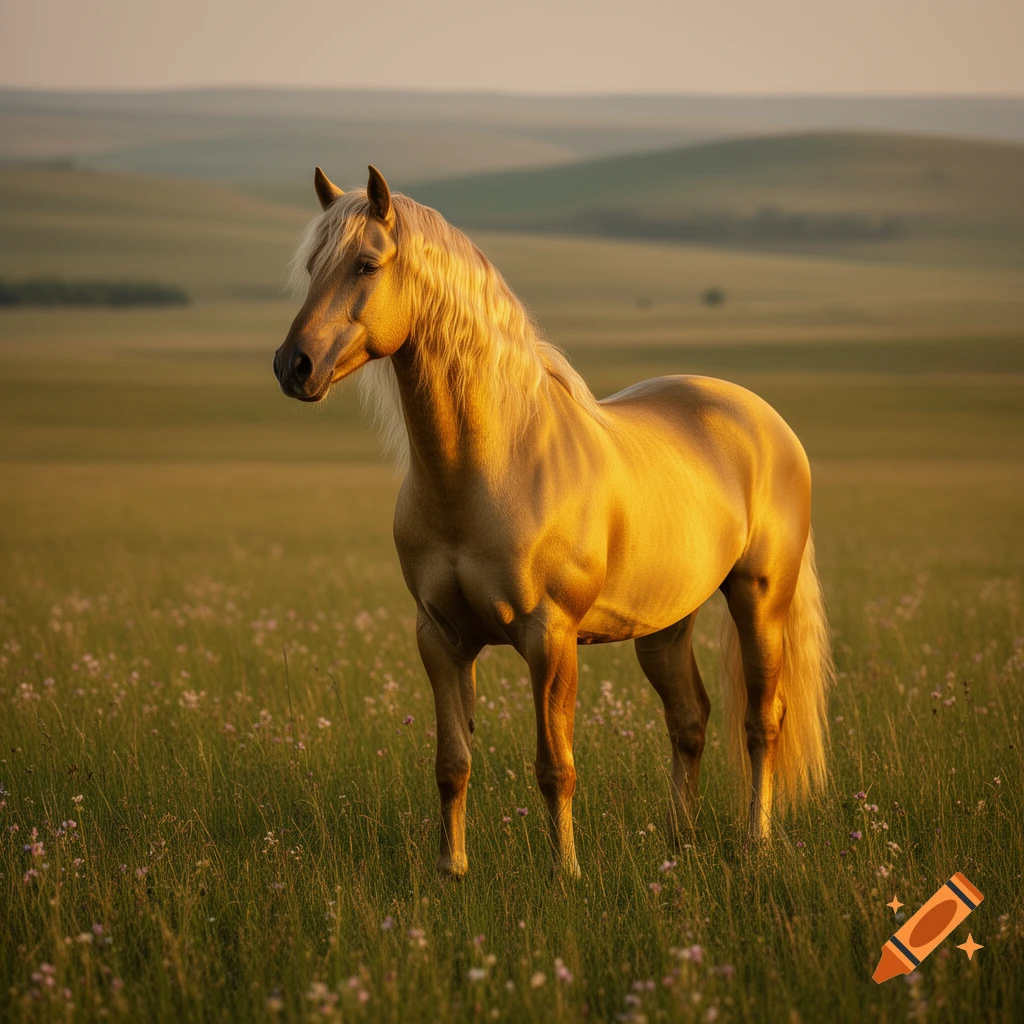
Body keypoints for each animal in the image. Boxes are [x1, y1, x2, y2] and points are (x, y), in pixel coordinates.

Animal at [274, 165, 834, 878]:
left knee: (762, 721)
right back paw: (679, 843)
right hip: (666, 624)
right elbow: (452, 763)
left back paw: (756, 842)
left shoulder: (550, 638)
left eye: (367, 263)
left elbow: (554, 766)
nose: (293, 366)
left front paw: (564, 872)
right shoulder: (439, 638)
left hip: (760, 601)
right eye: (312, 265)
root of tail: (762, 417)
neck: (489, 468)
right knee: (690, 719)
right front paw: (450, 870)